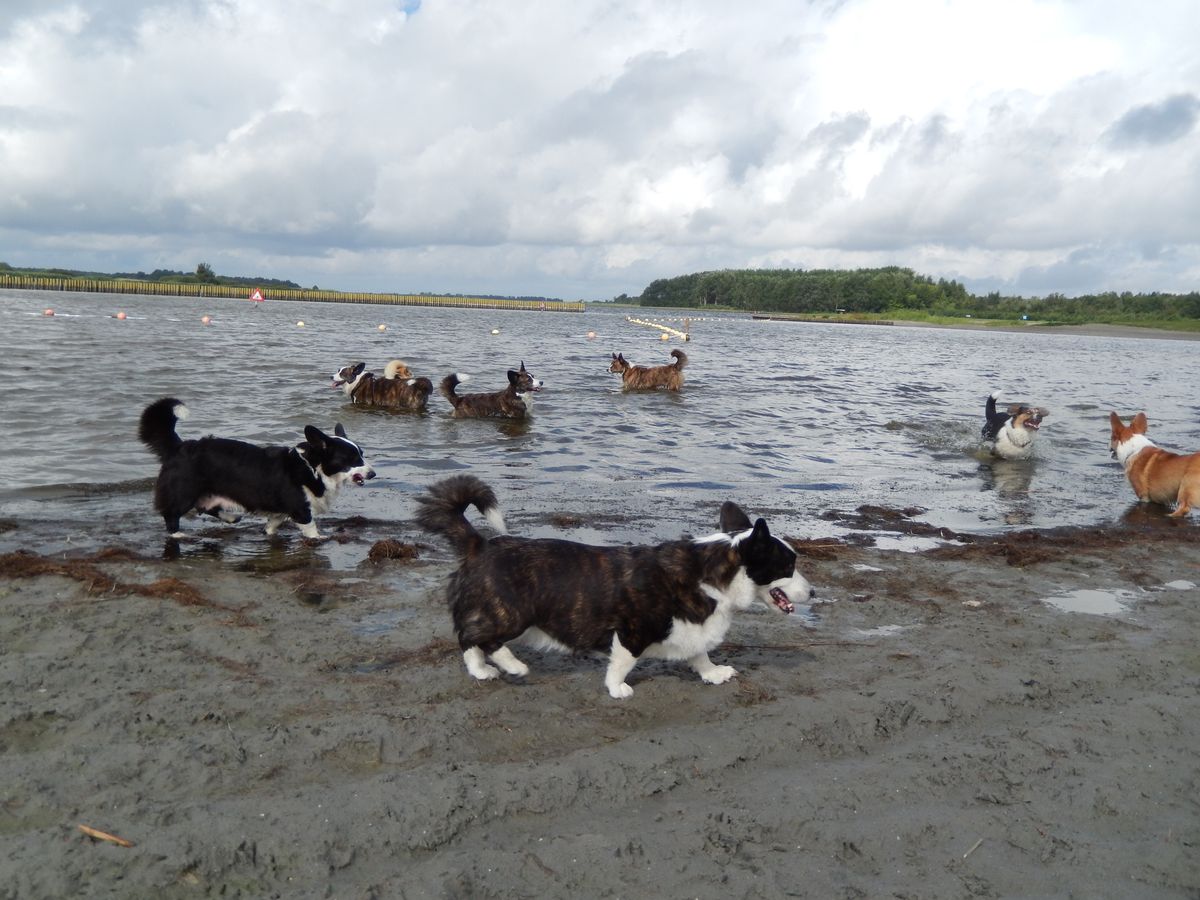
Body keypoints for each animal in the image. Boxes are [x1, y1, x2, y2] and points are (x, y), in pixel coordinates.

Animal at [136, 398, 372, 540]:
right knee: (171, 515)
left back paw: (231, 518)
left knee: (206, 506)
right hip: (185, 492)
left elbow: (271, 525)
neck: (315, 468)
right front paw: (319, 539)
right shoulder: (301, 510)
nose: (373, 473)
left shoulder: (280, 513)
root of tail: (178, 446)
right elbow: (311, 528)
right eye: (351, 459)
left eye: (361, 454)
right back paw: (178, 535)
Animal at [415, 475, 816, 700]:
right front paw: (617, 690)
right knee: (476, 637)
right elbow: (622, 664)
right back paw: (510, 666)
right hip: (511, 614)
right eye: (788, 565)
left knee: (471, 641)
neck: (712, 572)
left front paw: (714, 674)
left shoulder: (688, 630)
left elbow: (699, 654)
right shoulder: (632, 632)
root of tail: (479, 545)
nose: (813, 593)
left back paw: (482, 671)